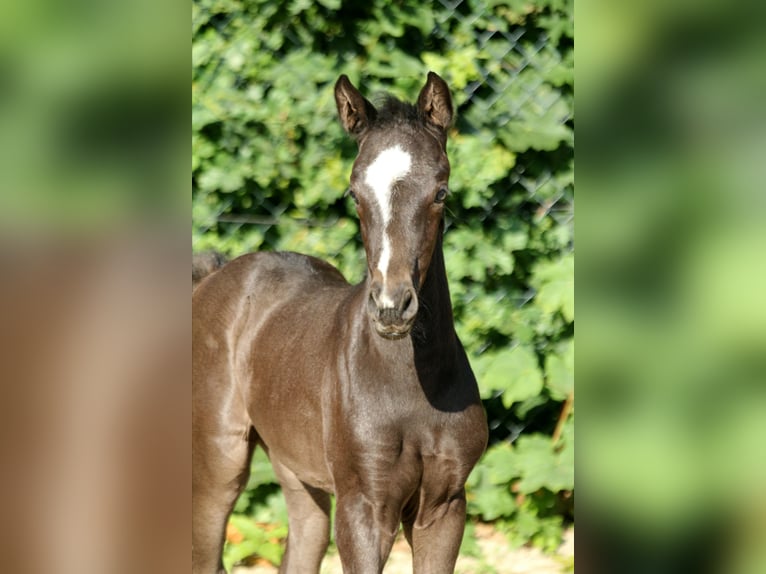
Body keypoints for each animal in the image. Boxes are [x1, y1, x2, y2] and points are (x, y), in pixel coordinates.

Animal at [195, 73, 488, 574]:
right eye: (354, 193)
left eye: (441, 192)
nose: (391, 307)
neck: (412, 381)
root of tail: (215, 274)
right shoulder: (363, 508)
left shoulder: (444, 507)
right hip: (220, 460)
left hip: (296, 468)